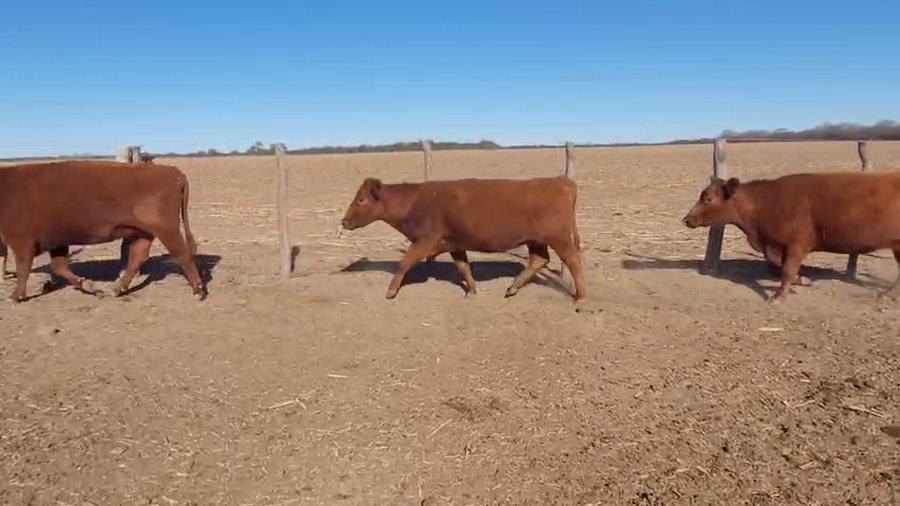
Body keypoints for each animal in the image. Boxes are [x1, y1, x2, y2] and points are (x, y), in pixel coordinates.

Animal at [0, 159, 207, 302]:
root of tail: (173, 171)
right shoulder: (57, 242)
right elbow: (59, 267)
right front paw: (89, 286)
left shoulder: (21, 240)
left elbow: (23, 268)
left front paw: (16, 296)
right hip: (144, 233)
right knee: (137, 258)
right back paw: (118, 289)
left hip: (166, 230)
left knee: (183, 254)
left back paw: (198, 290)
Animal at [339, 176, 586, 304]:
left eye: (361, 200)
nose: (344, 221)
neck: (414, 202)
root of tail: (561, 181)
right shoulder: (454, 245)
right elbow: (463, 267)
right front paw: (472, 291)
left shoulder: (424, 241)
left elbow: (404, 263)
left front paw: (391, 292)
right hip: (536, 240)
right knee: (538, 260)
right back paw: (512, 288)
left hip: (559, 238)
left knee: (573, 261)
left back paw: (581, 298)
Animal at [682, 173, 900, 304]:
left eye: (708, 199)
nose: (686, 219)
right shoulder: (777, 246)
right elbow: (780, 264)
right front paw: (800, 280)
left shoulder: (797, 243)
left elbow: (786, 268)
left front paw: (779, 296)